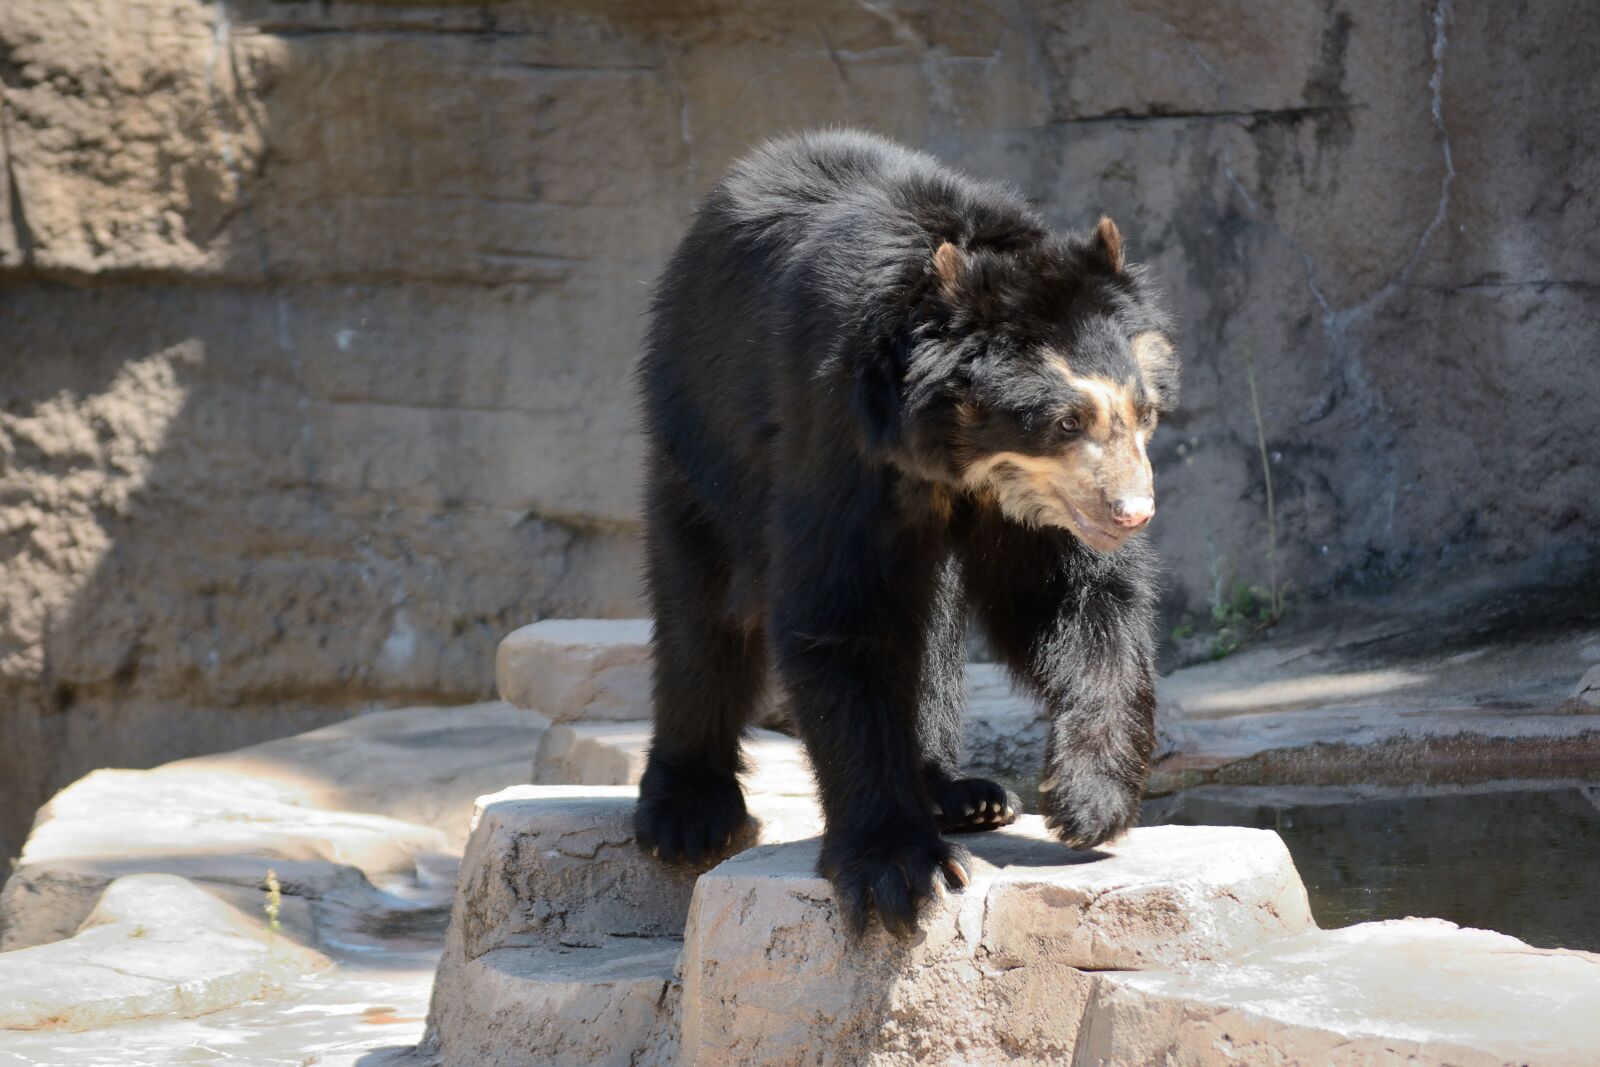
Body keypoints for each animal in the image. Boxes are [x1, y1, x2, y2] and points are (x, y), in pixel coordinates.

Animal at [633, 129, 1179, 937]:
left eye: (1142, 410)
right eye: (1065, 420)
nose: (1132, 513)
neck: (953, 456)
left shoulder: (1035, 507)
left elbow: (1074, 600)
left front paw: (1088, 799)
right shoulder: (837, 431)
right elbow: (840, 615)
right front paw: (897, 870)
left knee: (934, 625)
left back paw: (963, 791)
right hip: (700, 433)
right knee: (701, 608)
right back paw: (685, 813)